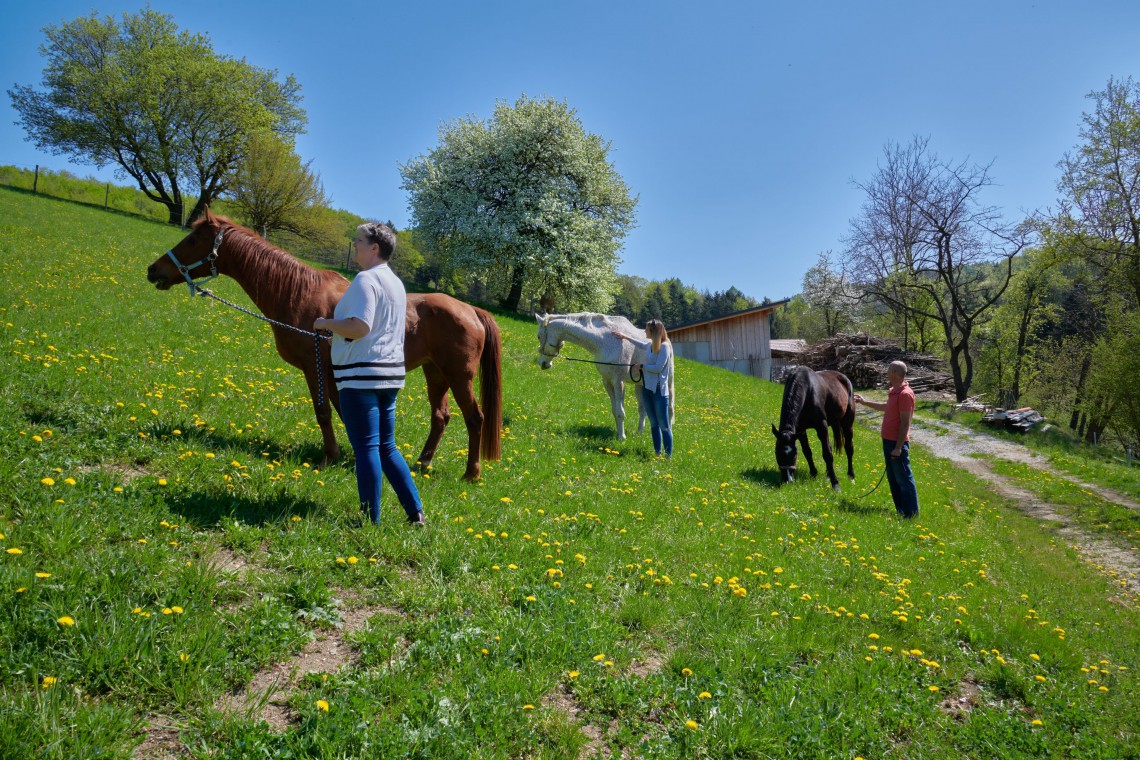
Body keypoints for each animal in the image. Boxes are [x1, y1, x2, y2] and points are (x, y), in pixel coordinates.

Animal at [144, 210, 501, 478]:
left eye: (193, 239)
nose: (153, 269)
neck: (298, 292)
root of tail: (471, 310)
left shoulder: (313, 365)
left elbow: (323, 411)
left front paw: (330, 456)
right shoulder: (331, 370)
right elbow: (343, 410)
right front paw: (352, 453)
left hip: (458, 376)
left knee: (475, 418)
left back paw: (471, 473)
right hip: (435, 373)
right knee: (441, 416)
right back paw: (423, 462)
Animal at [538, 314, 670, 442]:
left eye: (539, 336)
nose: (542, 363)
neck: (604, 339)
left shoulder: (618, 382)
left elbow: (620, 412)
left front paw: (622, 438)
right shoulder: (607, 381)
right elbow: (615, 410)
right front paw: (618, 434)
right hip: (640, 385)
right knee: (642, 409)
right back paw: (639, 432)